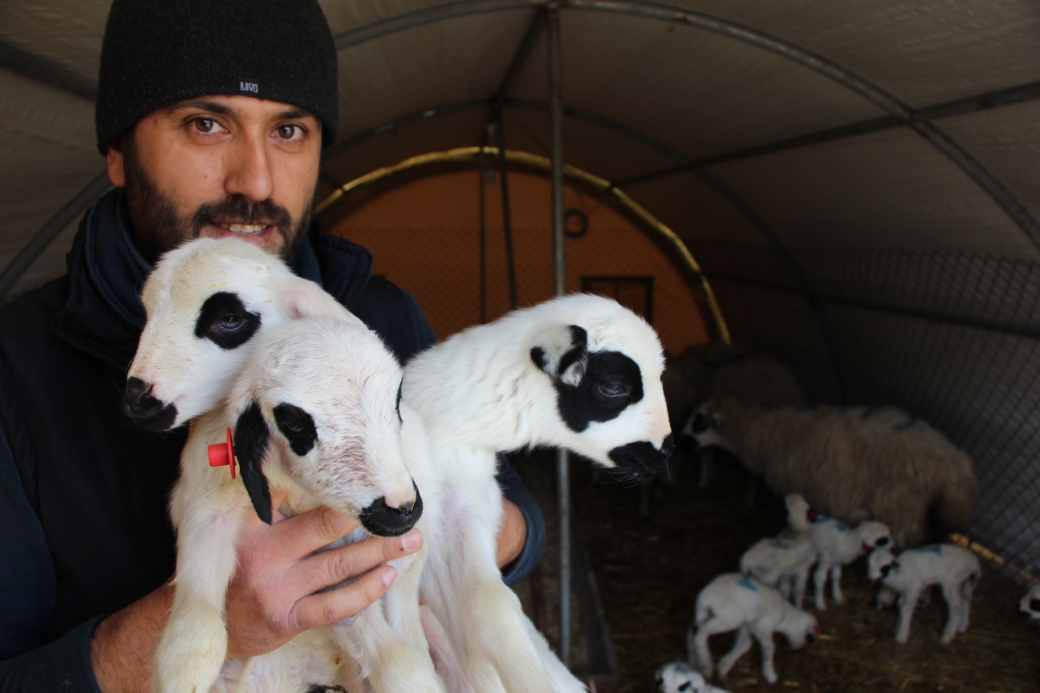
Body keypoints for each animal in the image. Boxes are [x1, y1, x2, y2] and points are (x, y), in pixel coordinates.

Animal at [682, 397, 973, 549]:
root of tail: (956, 470)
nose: (681, 440)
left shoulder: (800, 488)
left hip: (902, 508)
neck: (763, 434)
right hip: (933, 514)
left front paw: (785, 537)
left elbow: (794, 521)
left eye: (699, 421)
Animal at [686, 570, 815, 678]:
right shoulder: (762, 626)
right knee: (701, 634)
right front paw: (770, 674)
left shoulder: (747, 625)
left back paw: (694, 661)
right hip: (728, 618)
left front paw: (724, 666)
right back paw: (706, 666)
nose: (800, 648)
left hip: (704, 616)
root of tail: (705, 596)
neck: (784, 616)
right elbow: (769, 646)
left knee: (692, 632)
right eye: (808, 636)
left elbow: (745, 644)